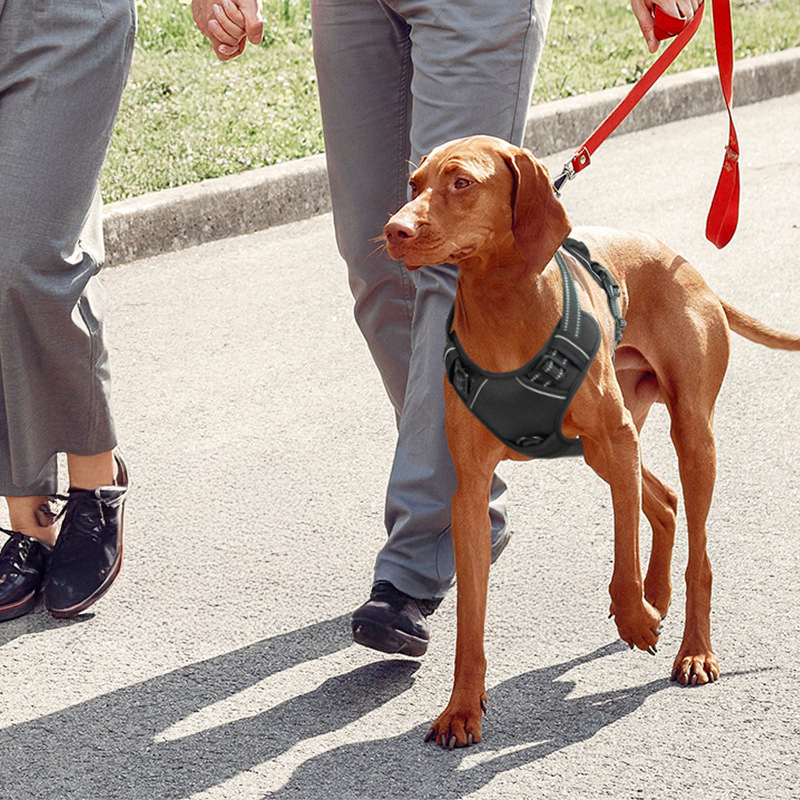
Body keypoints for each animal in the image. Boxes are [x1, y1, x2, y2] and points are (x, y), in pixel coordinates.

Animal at [382, 133, 800, 752]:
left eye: (461, 182)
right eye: (415, 184)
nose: (394, 230)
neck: (505, 307)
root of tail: (690, 268)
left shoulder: (617, 438)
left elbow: (622, 559)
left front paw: (635, 618)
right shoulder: (471, 492)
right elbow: (469, 622)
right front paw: (461, 708)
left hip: (683, 435)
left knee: (697, 551)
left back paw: (694, 648)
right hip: (604, 450)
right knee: (664, 503)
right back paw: (660, 595)